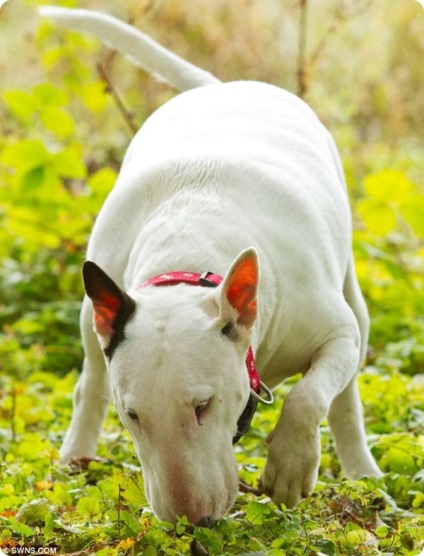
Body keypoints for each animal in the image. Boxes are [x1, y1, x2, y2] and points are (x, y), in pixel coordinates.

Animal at [39, 6, 380, 524]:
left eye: (204, 405)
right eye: (133, 416)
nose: (188, 522)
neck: (187, 255)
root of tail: (220, 85)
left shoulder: (334, 331)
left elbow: (306, 397)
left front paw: (289, 470)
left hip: (353, 306)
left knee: (343, 397)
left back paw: (364, 474)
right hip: (88, 316)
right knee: (90, 384)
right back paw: (72, 462)